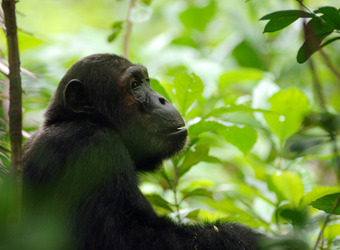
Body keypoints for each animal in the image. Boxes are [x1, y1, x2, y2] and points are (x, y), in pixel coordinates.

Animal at [23, 53, 262, 249]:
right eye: (135, 85)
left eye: (146, 81)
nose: (162, 99)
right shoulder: (94, 149)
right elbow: (130, 238)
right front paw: (243, 236)